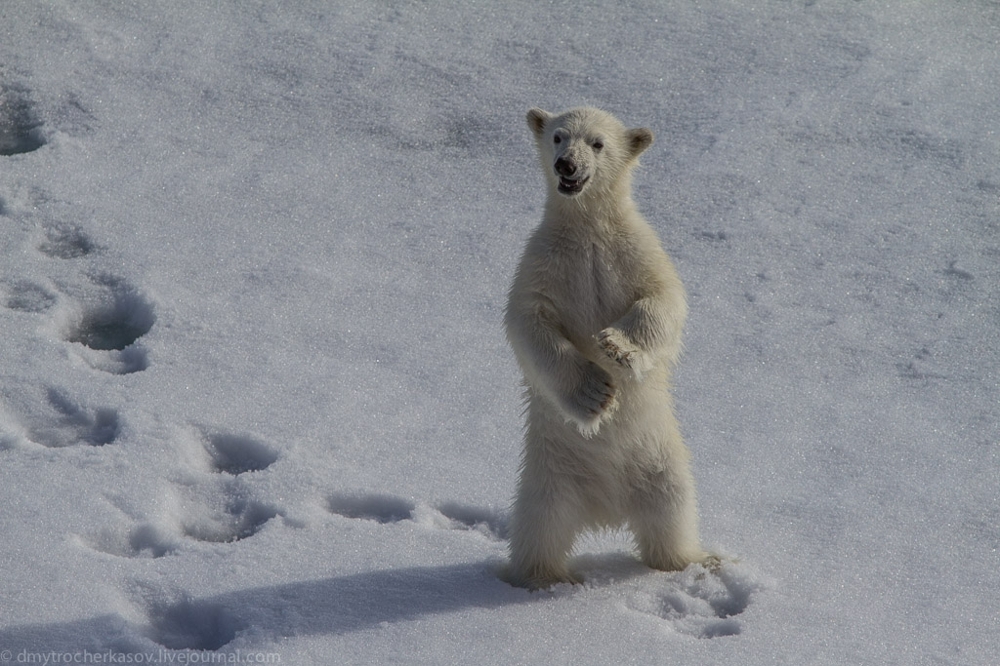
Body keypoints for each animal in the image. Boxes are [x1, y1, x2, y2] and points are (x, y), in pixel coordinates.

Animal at [504, 107, 708, 588]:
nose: (567, 166)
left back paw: (692, 563)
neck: (588, 228)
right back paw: (543, 578)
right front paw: (596, 394)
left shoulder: (634, 251)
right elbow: (530, 323)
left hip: (663, 465)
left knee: (673, 516)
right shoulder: (544, 262)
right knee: (539, 530)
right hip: (549, 478)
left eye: (597, 143)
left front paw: (617, 347)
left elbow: (663, 299)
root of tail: (606, 510)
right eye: (558, 137)